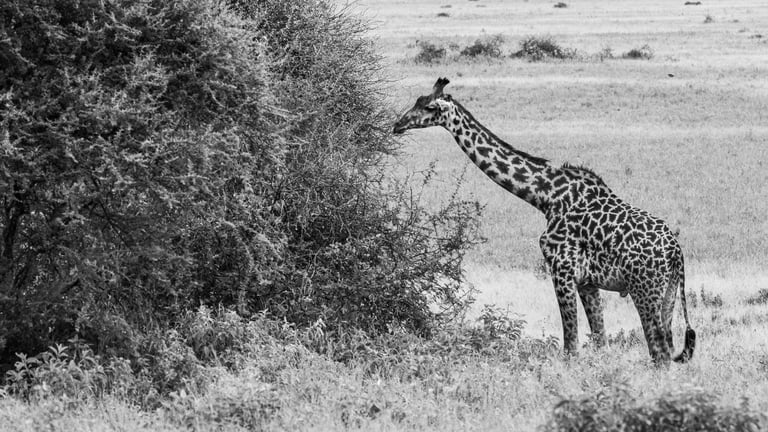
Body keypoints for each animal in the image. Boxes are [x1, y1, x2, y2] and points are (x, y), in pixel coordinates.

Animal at [393, 78, 695, 365]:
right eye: (417, 101)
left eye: (428, 107)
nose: (398, 125)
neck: (545, 195)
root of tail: (675, 252)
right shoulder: (587, 281)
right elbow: (600, 341)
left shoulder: (561, 269)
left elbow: (571, 346)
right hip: (668, 292)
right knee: (665, 347)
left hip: (644, 289)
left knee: (660, 351)